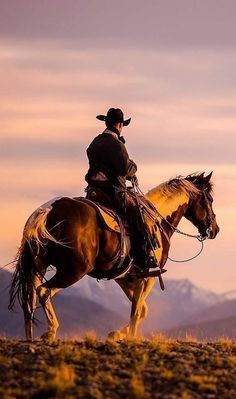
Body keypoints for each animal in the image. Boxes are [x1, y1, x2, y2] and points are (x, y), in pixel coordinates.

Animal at [9, 172, 219, 340]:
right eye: (209, 200)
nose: (215, 230)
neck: (158, 219)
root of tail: (50, 210)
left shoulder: (125, 277)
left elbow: (142, 310)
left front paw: (116, 333)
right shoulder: (148, 275)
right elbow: (137, 311)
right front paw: (130, 337)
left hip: (39, 266)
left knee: (30, 299)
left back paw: (30, 336)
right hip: (73, 270)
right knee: (44, 291)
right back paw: (51, 331)